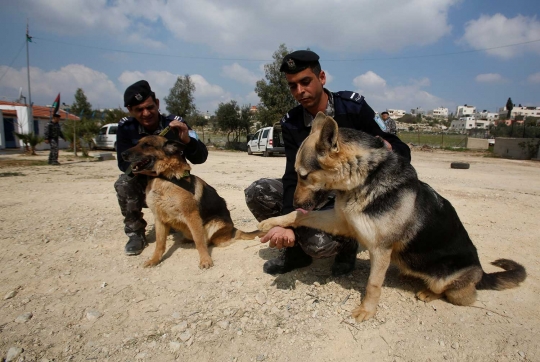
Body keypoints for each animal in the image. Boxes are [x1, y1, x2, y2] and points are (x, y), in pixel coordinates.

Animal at [123, 136, 266, 268]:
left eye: (147, 145)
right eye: (137, 143)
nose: (123, 154)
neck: (164, 177)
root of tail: (234, 230)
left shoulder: (192, 216)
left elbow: (199, 241)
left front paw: (205, 260)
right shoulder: (159, 218)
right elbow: (159, 243)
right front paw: (154, 260)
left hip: (215, 223)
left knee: (213, 239)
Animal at [260, 112, 524, 322]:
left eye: (304, 175)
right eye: (296, 174)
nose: (293, 201)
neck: (363, 179)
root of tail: (481, 272)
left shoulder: (380, 250)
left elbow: (373, 284)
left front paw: (367, 310)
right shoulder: (341, 222)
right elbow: (299, 217)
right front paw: (274, 222)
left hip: (449, 283)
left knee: (459, 294)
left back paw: (430, 293)